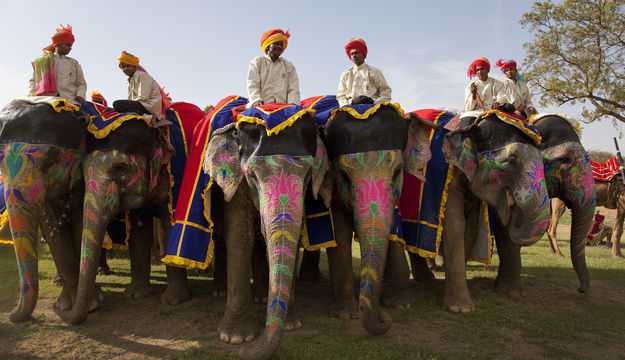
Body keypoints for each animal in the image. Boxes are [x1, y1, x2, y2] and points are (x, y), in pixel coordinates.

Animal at [0, 99, 84, 324]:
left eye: (51, 161)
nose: (10, 316)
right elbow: (52, 228)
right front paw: (63, 305)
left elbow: (80, 222)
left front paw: (89, 306)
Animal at [320, 104, 432, 334]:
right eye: (344, 176)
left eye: (397, 172)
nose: (382, 316)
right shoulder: (334, 191)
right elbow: (340, 235)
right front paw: (347, 314)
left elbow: (393, 230)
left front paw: (400, 304)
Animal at [442, 112, 548, 312]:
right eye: (511, 160)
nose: (513, 208)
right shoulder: (449, 173)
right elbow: (454, 224)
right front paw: (461, 309)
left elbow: (471, 228)